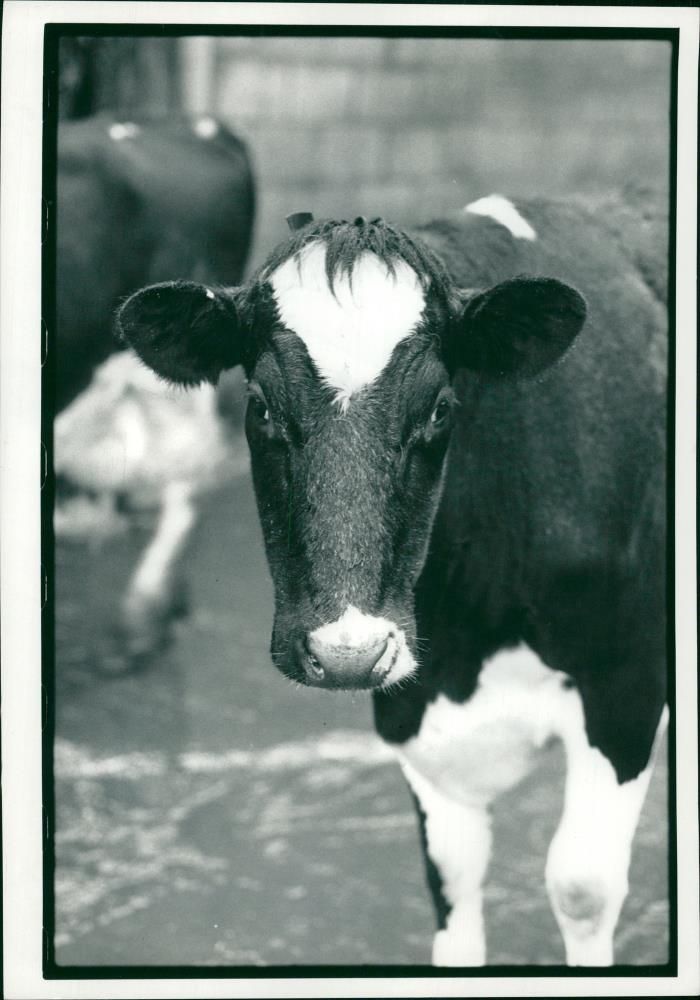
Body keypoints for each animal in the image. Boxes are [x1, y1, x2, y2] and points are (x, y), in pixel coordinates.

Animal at [115, 191, 668, 964]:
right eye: (260, 404)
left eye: (439, 408)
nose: (349, 653)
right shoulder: (418, 712)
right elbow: (451, 878)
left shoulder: (627, 682)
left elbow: (581, 885)